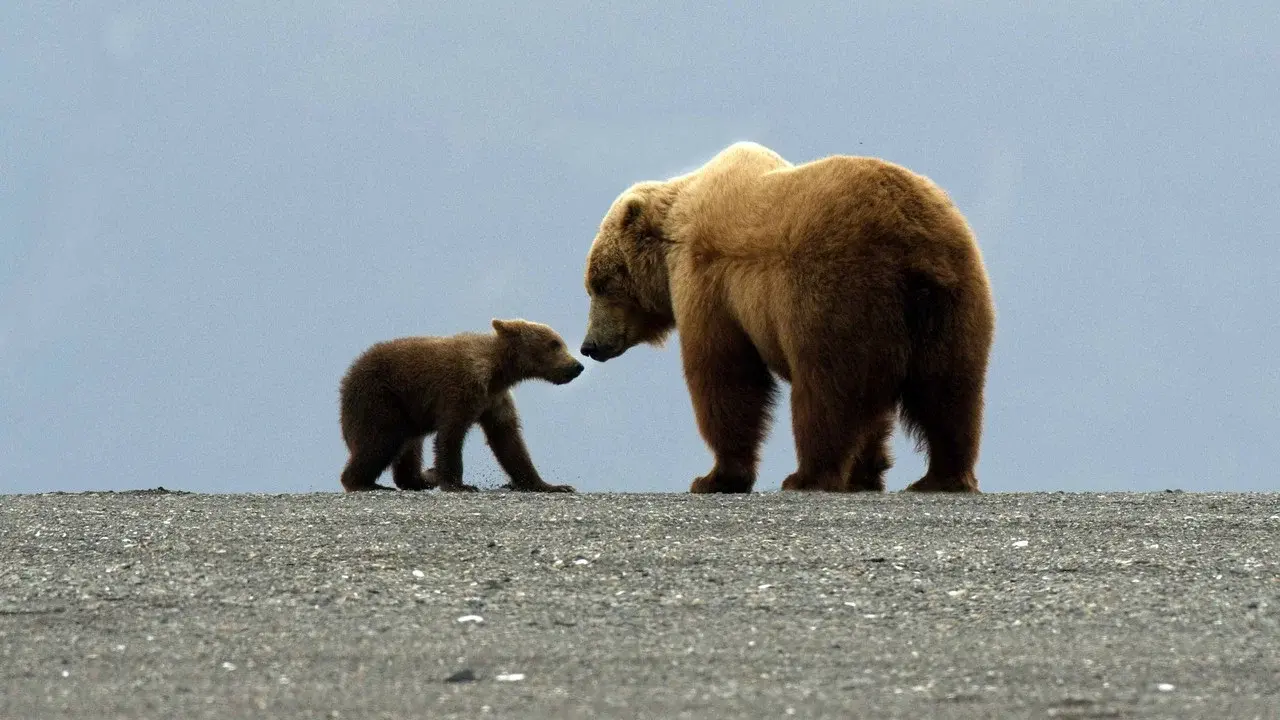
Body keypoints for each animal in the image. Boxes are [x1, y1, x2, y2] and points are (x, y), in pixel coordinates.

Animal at [338, 318, 584, 493]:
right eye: (554, 344)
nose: (576, 365)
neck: (497, 372)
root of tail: (347, 375)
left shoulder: (495, 400)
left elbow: (508, 441)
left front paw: (551, 485)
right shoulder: (461, 389)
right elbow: (451, 434)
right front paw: (459, 484)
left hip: (407, 411)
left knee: (409, 447)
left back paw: (422, 478)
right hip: (380, 398)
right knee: (380, 440)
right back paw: (363, 483)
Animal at [578, 141, 995, 494]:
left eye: (600, 283)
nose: (589, 345)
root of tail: (914, 246)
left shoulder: (711, 282)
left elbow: (725, 375)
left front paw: (715, 477)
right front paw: (867, 470)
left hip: (835, 294)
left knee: (826, 392)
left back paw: (807, 476)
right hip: (954, 301)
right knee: (950, 391)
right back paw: (942, 477)